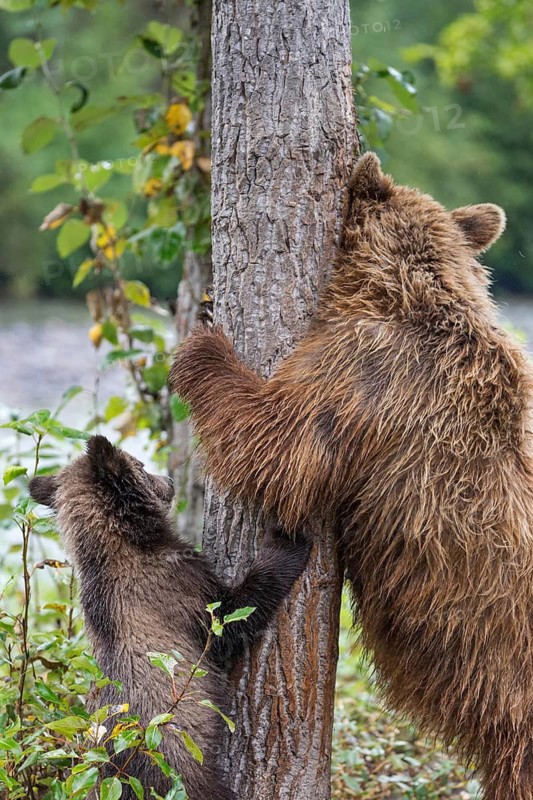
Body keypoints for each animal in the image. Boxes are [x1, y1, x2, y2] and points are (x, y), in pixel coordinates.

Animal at [29, 435, 311, 800]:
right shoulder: (178, 587)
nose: (169, 480)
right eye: (141, 464)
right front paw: (288, 538)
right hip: (180, 769)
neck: (125, 542)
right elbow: (232, 618)